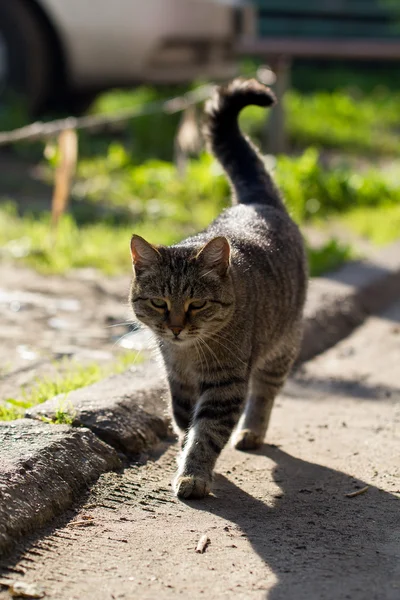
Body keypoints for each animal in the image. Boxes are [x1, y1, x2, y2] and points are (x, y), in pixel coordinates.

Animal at [130, 79, 308, 502]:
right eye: (159, 302)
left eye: (196, 304)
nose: (176, 328)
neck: (189, 352)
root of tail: (256, 202)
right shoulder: (178, 380)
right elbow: (184, 423)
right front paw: (183, 455)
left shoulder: (225, 383)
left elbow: (207, 432)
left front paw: (193, 474)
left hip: (283, 345)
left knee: (265, 392)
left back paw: (252, 431)